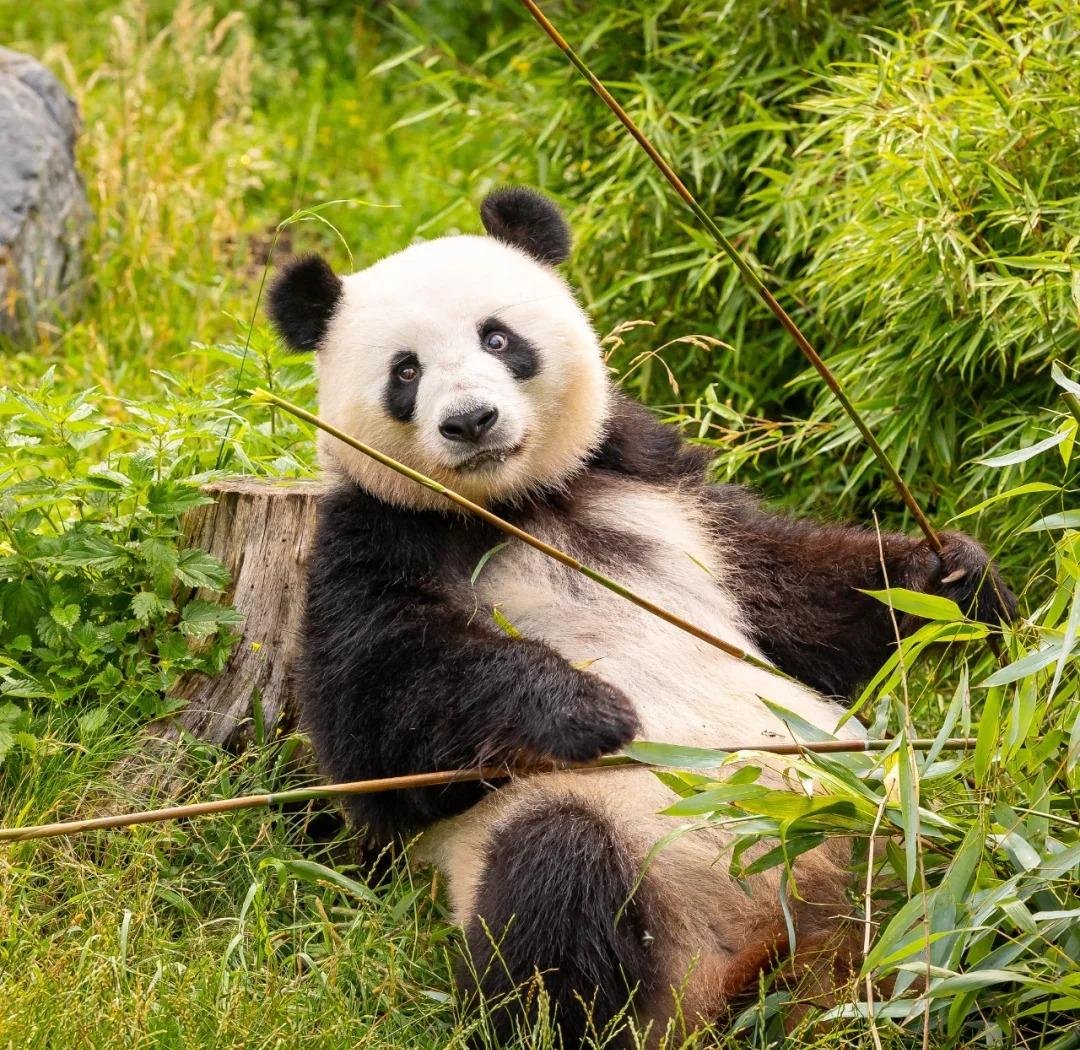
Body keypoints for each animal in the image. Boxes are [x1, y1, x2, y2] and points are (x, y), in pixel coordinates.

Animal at [267, 187, 1014, 1046]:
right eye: (406, 371)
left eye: (498, 337)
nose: (471, 421)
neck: (517, 503)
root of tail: (773, 956)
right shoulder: (375, 536)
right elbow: (374, 730)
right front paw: (584, 707)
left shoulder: (652, 477)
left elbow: (793, 590)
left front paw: (955, 576)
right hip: (645, 883)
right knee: (557, 889)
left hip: (894, 839)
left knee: (975, 889)